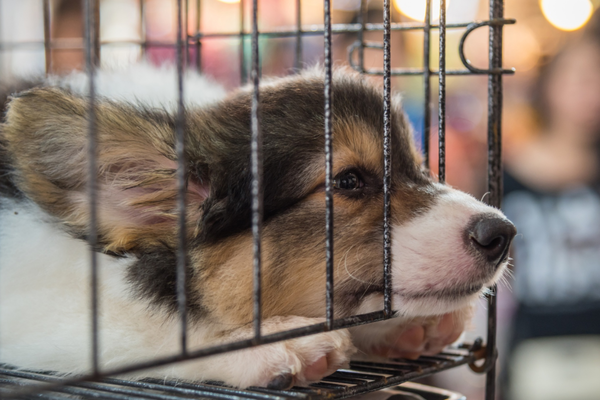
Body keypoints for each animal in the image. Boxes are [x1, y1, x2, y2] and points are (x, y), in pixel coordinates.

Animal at [0, 65, 516, 388]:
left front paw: (403, 324)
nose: (503, 235)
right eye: (349, 181)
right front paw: (272, 345)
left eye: (420, 167)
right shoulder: (40, 312)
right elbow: (154, 336)